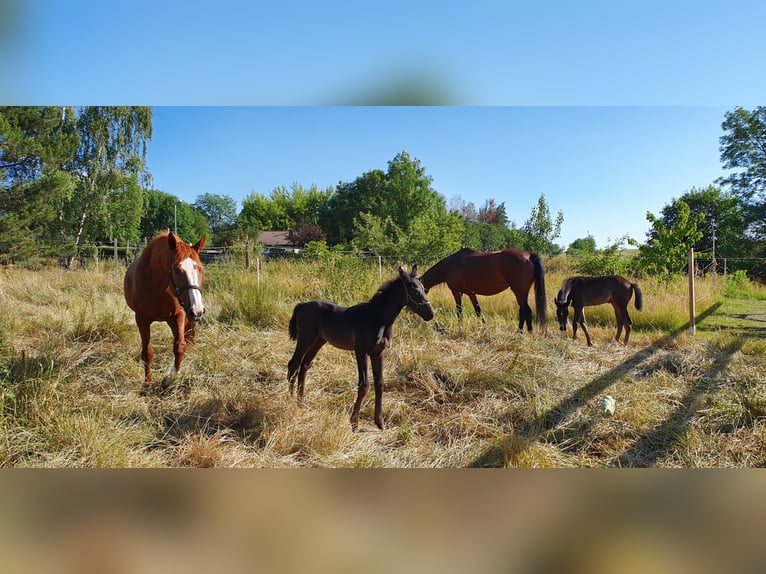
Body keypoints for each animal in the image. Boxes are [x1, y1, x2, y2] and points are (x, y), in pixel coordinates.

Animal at [124, 232, 207, 390]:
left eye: (200, 269)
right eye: (177, 270)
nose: (197, 311)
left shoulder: (179, 315)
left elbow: (180, 347)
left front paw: (169, 379)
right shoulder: (142, 319)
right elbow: (147, 353)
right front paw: (148, 382)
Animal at [288, 266, 436, 432]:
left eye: (424, 289)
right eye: (415, 291)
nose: (431, 314)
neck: (377, 318)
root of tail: (303, 305)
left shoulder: (378, 353)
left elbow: (380, 384)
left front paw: (380, 422)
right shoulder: (361, 351)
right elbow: (364, 385)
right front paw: (354, 423)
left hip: (319, 341)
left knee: (304, 365)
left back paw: (301, 402)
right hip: (305, 339)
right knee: (293, 364)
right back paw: (290, 400)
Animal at [420, 248, 552, 332]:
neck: (449, 266)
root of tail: (529, 255)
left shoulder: (456, 292)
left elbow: (459, 311)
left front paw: (460, 327)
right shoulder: (471, 293)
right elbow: (478, 310)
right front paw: (484, 328)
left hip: (519, 292)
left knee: (525, 311)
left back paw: (520, 332)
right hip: (523, 293)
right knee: (525, 310)